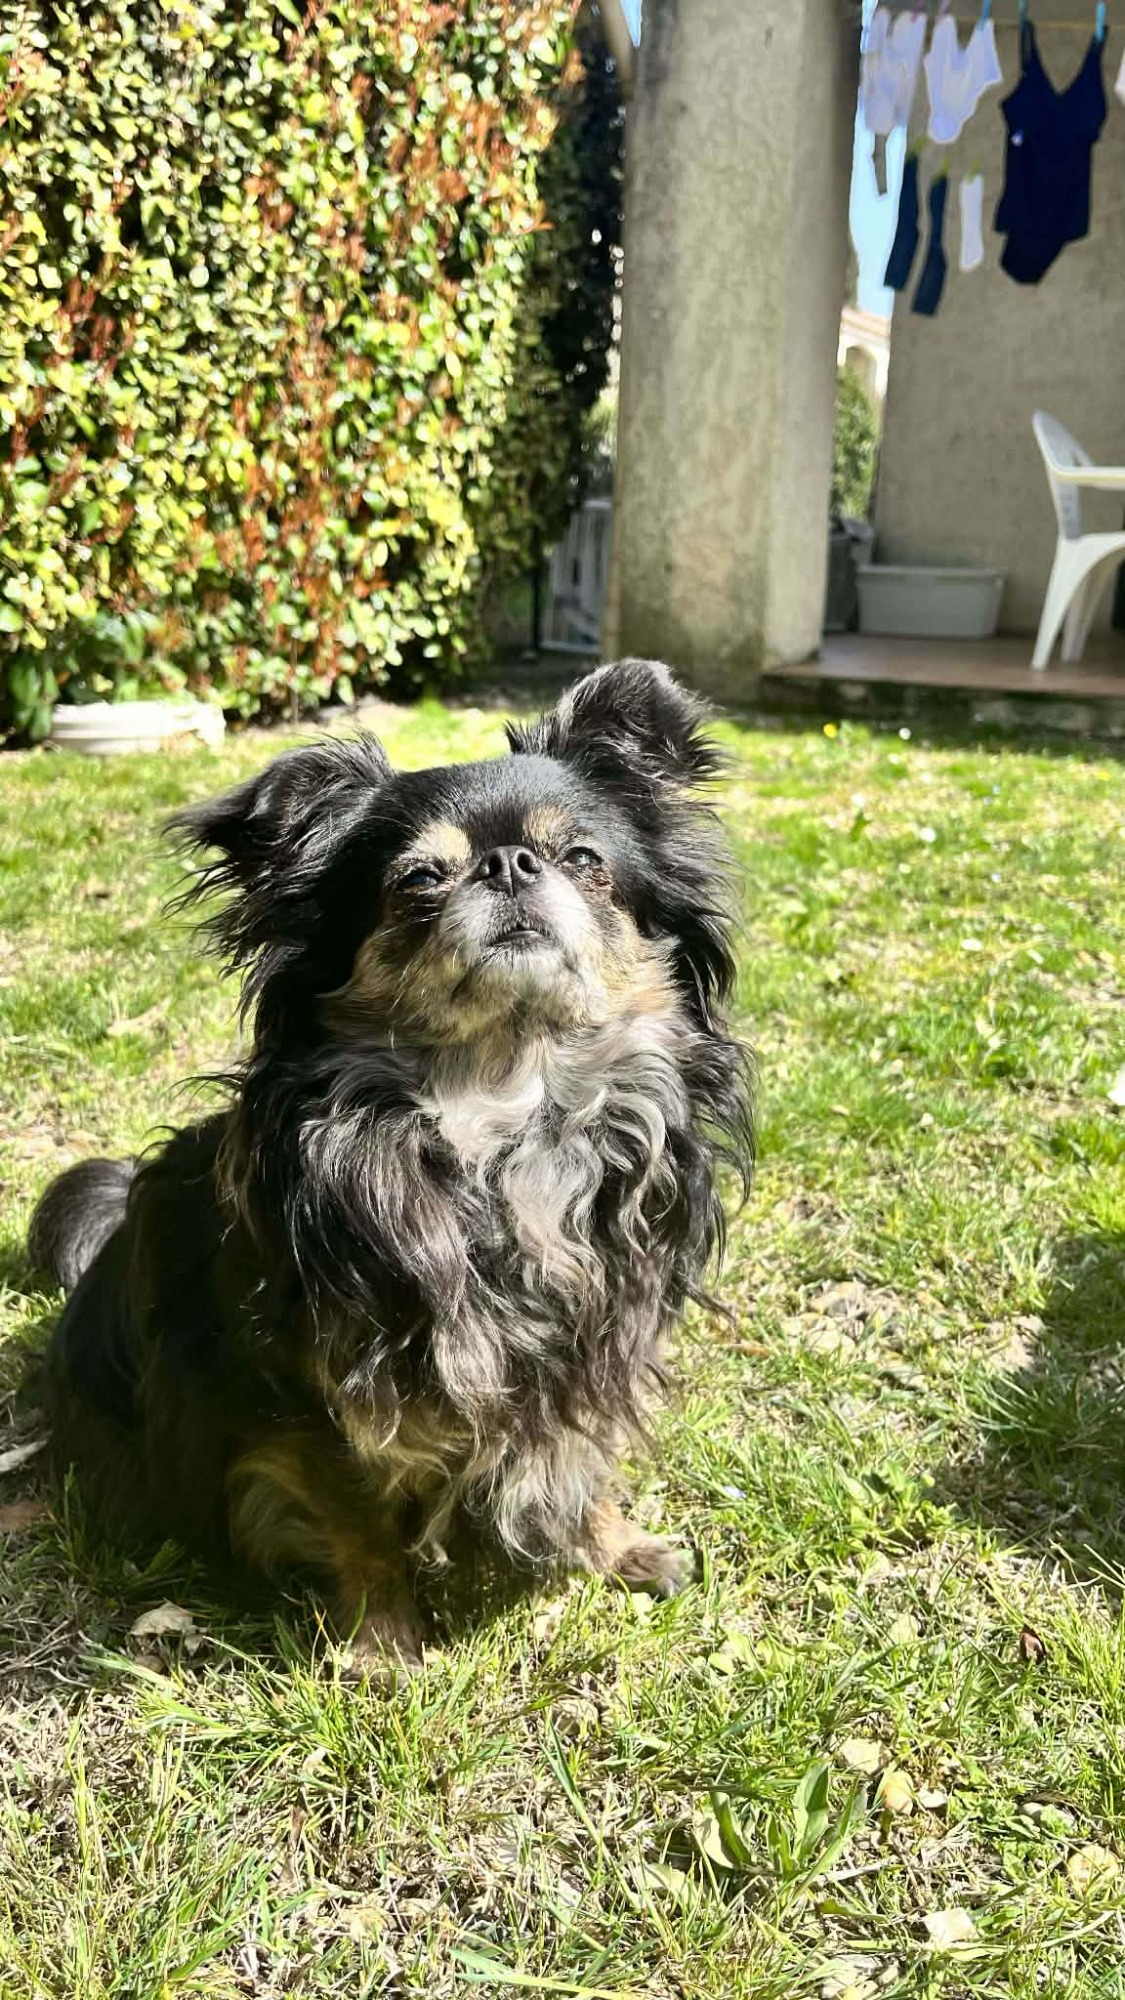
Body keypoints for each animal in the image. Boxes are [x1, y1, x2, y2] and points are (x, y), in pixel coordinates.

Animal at [29, 660, 753, 1668]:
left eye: (583, 860)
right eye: (417, 881)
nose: (509, 863)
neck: (505, 1111)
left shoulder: (596, 1336)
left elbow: (581, 1445)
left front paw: (613, 1547)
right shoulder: (310, 1397)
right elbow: (358, 1519)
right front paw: (385, 1646)